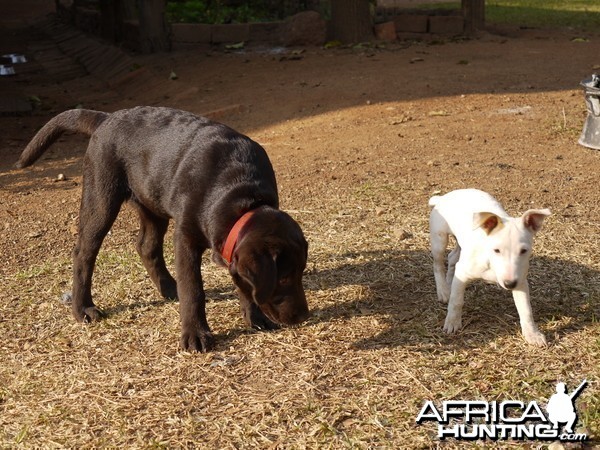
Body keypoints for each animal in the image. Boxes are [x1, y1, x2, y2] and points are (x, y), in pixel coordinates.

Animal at [17, 106, 312, 352]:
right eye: (283, 278)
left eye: (300, 273)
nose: (303, 316)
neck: (241, 195)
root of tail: (106, 117)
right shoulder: (185, 237)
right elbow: (194, 289)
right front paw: (196, 335)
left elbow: (244, 285)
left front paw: (256, 317)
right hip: (101, 198)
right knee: (84, 253)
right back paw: (83, 309)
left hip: (152, 204)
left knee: (146, 246)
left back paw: (169, 287)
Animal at [428, 188, 552, 346]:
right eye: (496, 250)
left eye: (524, 251)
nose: (509, 284)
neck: (491, 263)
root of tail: (443, 197)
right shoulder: (463, 273)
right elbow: (456, 301)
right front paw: (452, 323)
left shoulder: (520, 281)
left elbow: (525, 309)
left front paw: (532, 334)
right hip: (439, 239)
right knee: (438, 264)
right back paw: (443, 291)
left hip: (461, 245)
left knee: (452, 258)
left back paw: (449, 282)